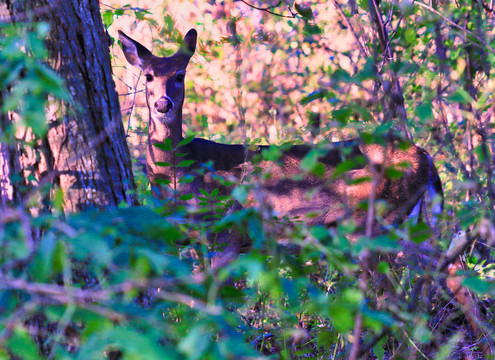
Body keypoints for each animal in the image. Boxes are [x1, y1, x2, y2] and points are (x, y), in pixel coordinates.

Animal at [118, 28, 444, 262]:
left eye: (179, 75)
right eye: (148, 76)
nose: (163, 104)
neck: (178, 176)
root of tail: (425, 157)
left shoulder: (224, 232)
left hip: (372, 220)